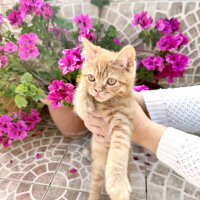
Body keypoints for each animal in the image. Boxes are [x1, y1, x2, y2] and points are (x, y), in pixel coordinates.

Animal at [73, 37, 136, 200]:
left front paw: (117, 184)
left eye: (111, 81)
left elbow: (119, 149)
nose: (97, 90)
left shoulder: (123, 120)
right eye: (91, 77)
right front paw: (84, 106)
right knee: (94, 186)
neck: (106, 103)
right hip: (98, 172)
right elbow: (81, 88)